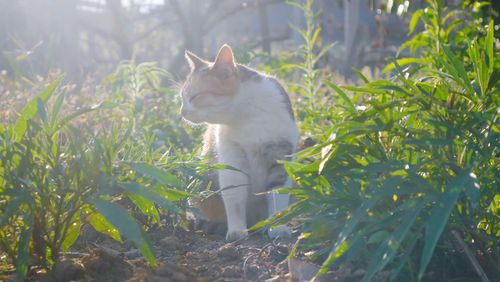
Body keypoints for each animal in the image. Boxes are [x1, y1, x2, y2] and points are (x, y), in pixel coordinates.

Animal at [180, 44, 296, 242]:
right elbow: (234, 197)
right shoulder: (231, 159)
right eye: (182, 97)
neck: (248, 117)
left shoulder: (280, 154)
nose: (182, 112)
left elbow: (277, 195)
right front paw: (236, 231)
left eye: (195, 96)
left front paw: (277, 228)